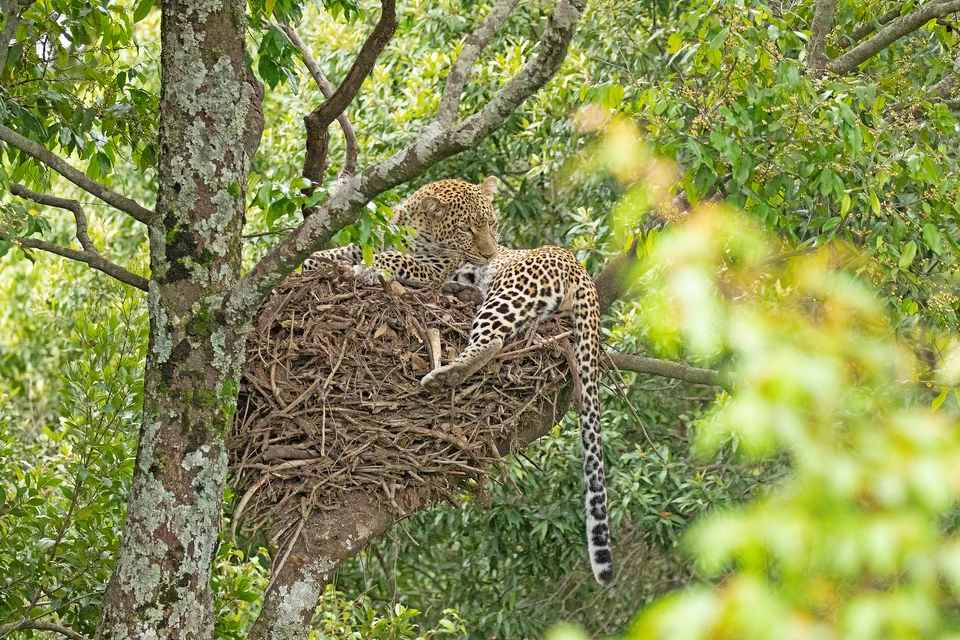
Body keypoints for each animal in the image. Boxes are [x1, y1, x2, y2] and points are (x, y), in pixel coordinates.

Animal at [302, 177, 500, 283]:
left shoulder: (435, 270)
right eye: (465, 229)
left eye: (491, 223)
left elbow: (399, 257)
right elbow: (326, 254)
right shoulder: (357, 249)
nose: (490, 255)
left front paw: (368, 268)